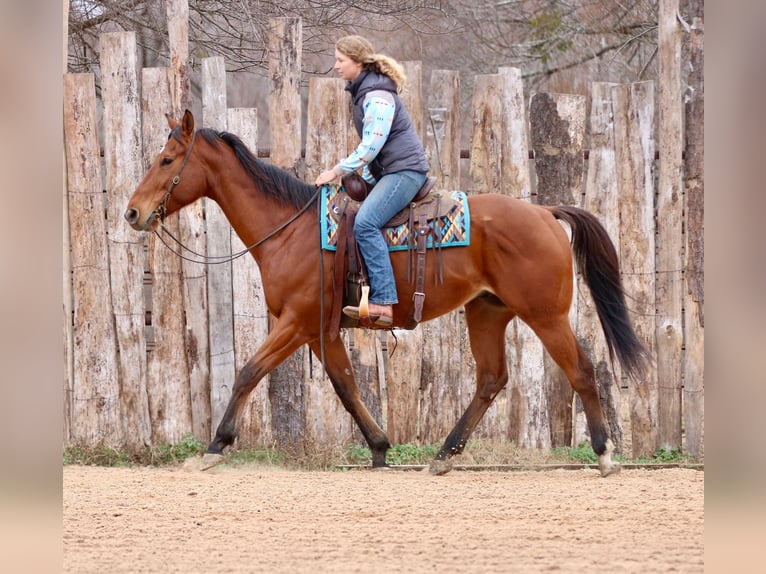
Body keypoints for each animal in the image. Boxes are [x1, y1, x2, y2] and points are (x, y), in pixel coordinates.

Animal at [125, 110, 649, 477]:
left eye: (166, 160)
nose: (132, 212)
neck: (290, 230)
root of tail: (546, 213)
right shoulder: (321, 331)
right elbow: (346, 386)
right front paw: (379, 447)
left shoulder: (296, 323)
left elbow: (248, 372)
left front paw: (215, 446)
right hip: (487, 312)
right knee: (490, 380)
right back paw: (444, 455)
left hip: (544, 315)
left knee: (581, 370)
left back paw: (605, 455)